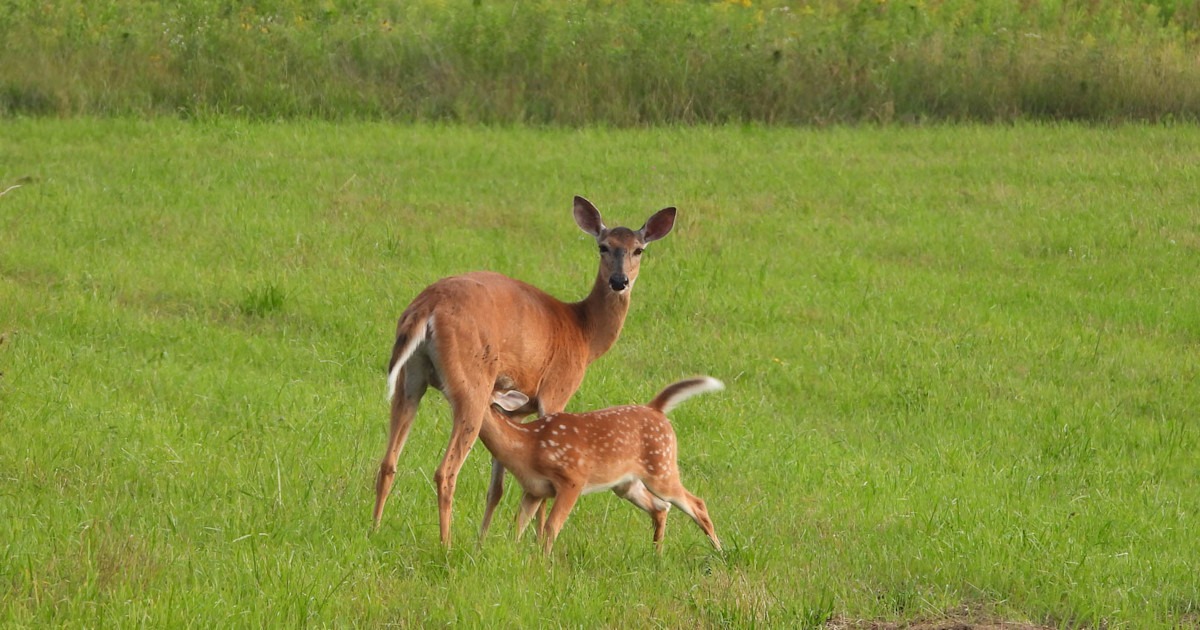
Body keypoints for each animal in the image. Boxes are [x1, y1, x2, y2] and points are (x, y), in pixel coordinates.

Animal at [373, 196, 677, 546]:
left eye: (638, 250)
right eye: (603, 246)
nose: (619, 281)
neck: (584, 334)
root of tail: (426, 307)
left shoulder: (514, 408)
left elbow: (497, 486)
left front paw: (484, 540)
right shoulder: (556, 390)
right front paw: (535, 541)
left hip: (410, 378)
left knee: (388, 462)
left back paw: (374, 529)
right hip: (471, 384)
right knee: (445, 470)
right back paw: (445, 544)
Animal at [487, 377, 724, 554]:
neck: (528, 445)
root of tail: (656, 409)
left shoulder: (573, 479)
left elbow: (551, 526)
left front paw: (544, 561)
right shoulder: (534, 490)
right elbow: (518, 525)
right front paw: (516, 555)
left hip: (662, 468)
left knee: (696, 503)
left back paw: (719, 552)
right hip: (627, 484)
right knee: (660, 507)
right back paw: (657, 554)